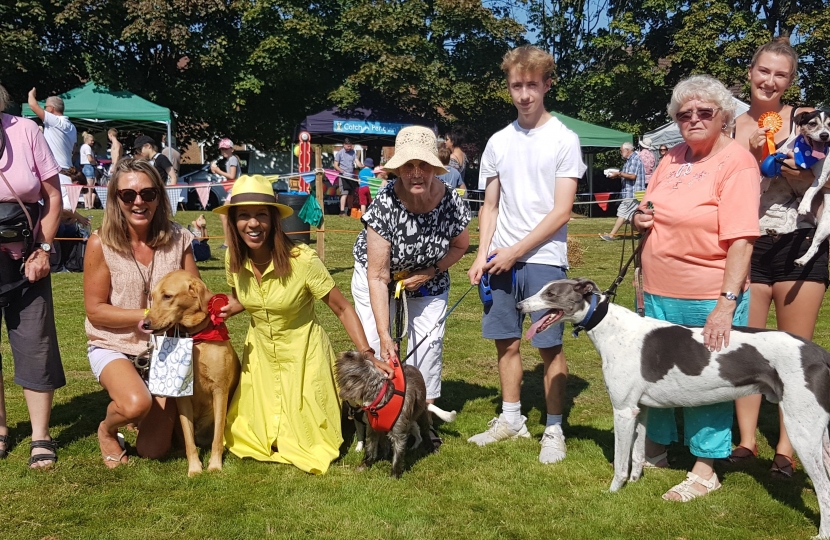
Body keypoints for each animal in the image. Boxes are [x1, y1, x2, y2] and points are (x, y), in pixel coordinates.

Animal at [143, 270, 239, 476]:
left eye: (167, 296)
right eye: (152, 297)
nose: (144, 324)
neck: (195, 339)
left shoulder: (220, 391)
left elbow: (217, 437)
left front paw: (215, 465)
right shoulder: (183, 397)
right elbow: (189, 440)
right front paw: (194, 468)